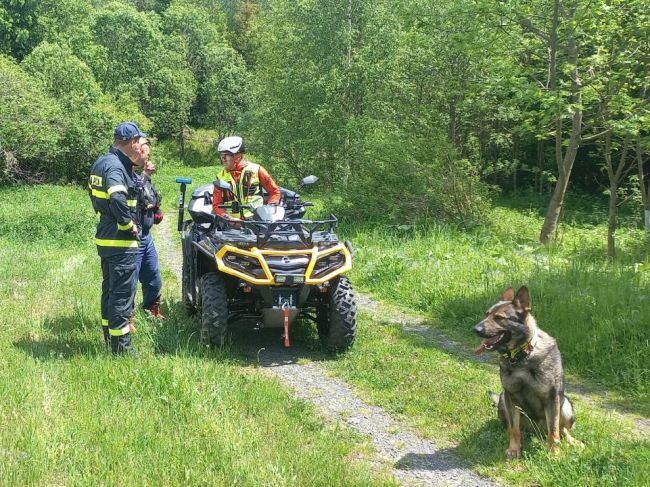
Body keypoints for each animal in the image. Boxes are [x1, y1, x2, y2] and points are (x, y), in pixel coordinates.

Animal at [470, 286, 576, 458]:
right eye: (486, 314)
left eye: (499, 318)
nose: (475, 329)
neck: (521, 357)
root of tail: (537, 431)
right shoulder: (510, 397)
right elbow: (514, 429)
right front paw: (514, 449)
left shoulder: (552, 399)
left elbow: (554, 431)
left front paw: (554, 452)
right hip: (503, 399)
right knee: (512, 426)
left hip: (565, 406)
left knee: (562, 430)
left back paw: (573, 441)